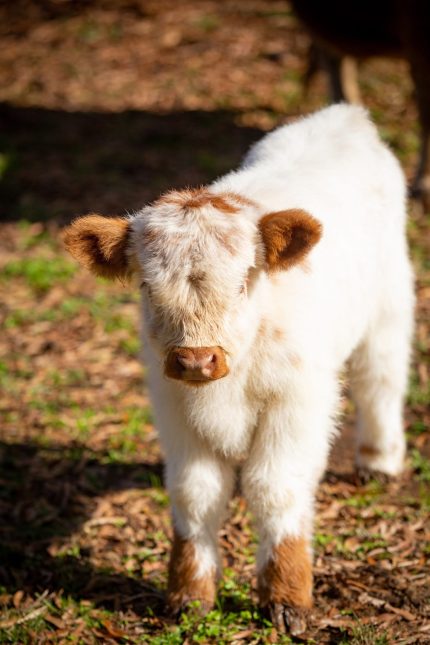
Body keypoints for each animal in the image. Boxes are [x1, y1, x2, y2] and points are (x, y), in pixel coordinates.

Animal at [63, 105, 414, 636]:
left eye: (245, 280)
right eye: (146, 285)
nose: (195, 359)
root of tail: (346, 116)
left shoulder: (298, 403)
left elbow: (275, 488)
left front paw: (286, 598)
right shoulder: (173, 408)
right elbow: (195, 494)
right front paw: (189, 593)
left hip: (389, 305)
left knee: (382, 381)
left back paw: (379, 461)